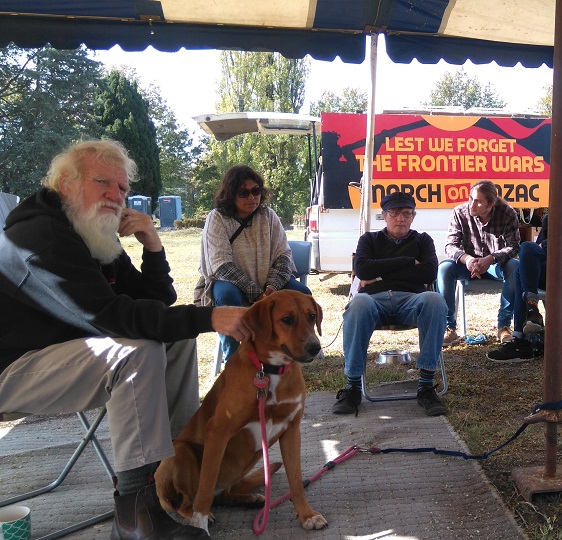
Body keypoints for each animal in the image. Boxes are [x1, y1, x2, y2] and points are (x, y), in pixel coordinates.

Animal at [155, 288, 326, 532]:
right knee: (188, 501)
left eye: (311, 316)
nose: (315, 347)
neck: (269, 371)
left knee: (223, 495)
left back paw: (248, 499)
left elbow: (296, 480)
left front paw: (306, 515)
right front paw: (200, 523)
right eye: (287, 319)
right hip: (180, 452)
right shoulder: (218, 430)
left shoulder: (292, 430)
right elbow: (205, 488)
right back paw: (198, 516)